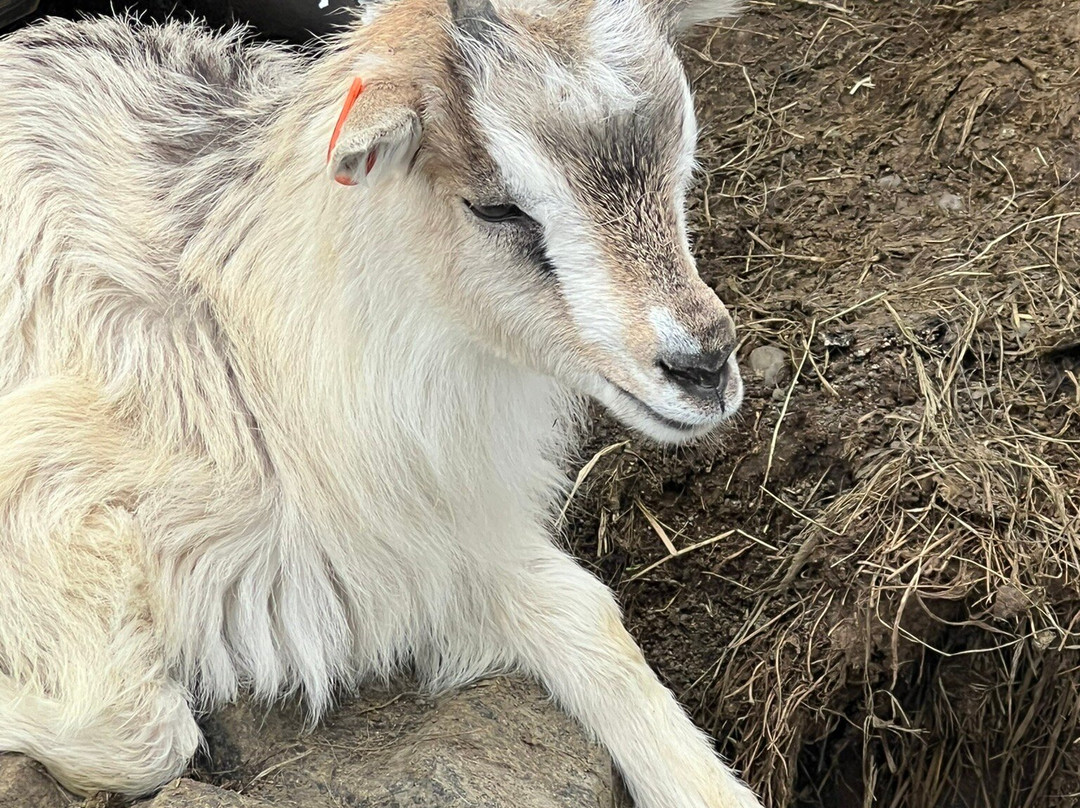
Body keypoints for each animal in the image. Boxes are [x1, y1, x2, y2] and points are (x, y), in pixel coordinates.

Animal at [0, 2, 759, 806]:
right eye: (496, 206)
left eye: (682, 156)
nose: (705, 366)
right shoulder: (44, 488)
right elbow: (142, 735)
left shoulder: (443, 544)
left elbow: (590, 620)